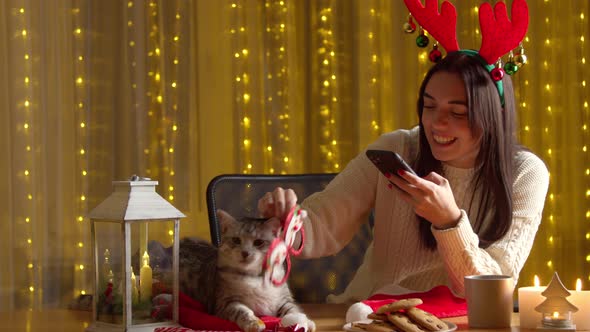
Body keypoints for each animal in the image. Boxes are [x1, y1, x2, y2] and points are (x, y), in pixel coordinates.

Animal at [180, 210, 316, 332]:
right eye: (236, 240)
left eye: (258, 242)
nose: (245, 253)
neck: (256, 277)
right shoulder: (225, 303)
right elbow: (242, 311)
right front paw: (254, 323)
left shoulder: (284, 299)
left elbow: (292, 309)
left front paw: (305, 322)